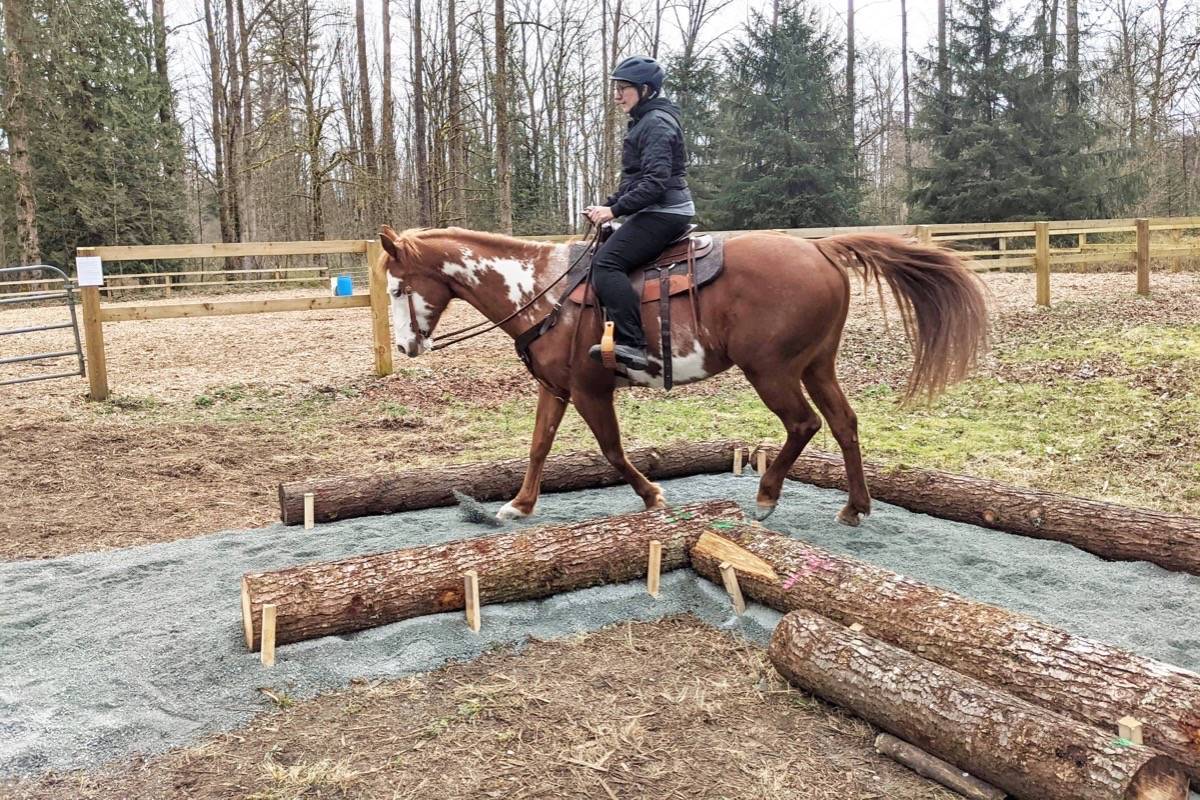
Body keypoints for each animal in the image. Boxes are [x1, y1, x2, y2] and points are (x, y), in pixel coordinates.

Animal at [379, 225, 988, 525]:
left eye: (397, 287)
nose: (407, 346)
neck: (543, 290)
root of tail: (821, 250)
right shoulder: (556, 389)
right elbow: (538, 447)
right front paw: (520, 505)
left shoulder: (591, 391)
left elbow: (612, 451)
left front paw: (653, 497)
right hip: (817, 365)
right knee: (843, 424)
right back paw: (855, 507)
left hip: (771, 372)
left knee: (804, 425)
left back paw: (767, 495)